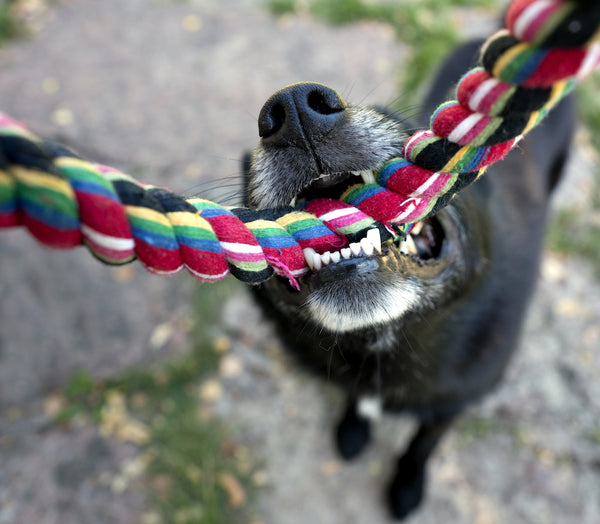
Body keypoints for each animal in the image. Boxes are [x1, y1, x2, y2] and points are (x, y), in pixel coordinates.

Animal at [241, 40, 576, 520]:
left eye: (418, 139)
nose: (292, 107)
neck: (387, 345)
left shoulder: (450, 407)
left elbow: (422, 446)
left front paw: (407, 485)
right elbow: (357, 404)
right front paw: (353, 430)